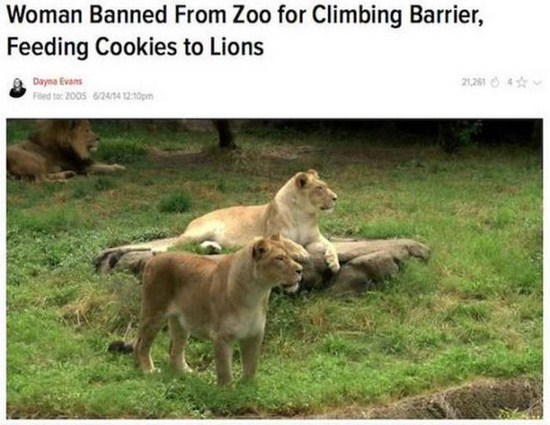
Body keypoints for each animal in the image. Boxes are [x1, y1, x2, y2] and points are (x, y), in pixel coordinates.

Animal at [98, 168, 340, 272]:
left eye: (326, 186)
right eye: (320, 188)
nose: (336, 198)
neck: (304, 213)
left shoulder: (315, 238)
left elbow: (330, 245)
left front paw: (333, 262)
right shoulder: (267, 235)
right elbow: (287, 241)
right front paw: (300, 252)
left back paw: (213, 249)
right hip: (201, 229)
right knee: (173, 244)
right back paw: (160, 250)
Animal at [108, 235, 306, 384]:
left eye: (292, 256)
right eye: (279, 258)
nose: (300, 270)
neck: (257, 294)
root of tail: (152, 259)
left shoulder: (254, 335)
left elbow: (251, 366)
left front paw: (248, 388)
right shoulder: (221, 337)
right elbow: (225, 371)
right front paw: (227, 393)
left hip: (180, 323)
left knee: (174, 351)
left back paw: (187, 373)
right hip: (154, 313)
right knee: (141, 344)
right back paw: (148, 370)